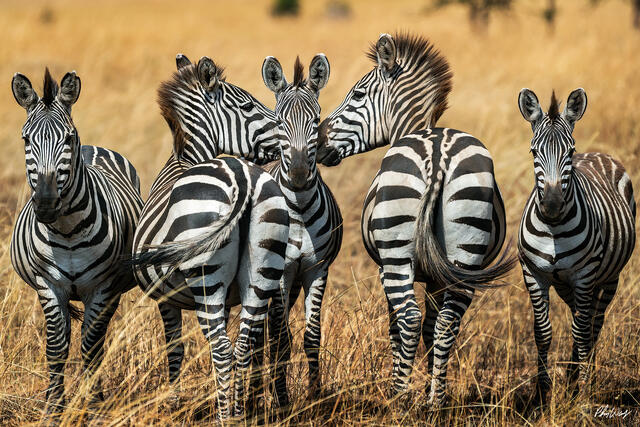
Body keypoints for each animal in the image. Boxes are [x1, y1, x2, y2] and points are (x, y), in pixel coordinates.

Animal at [10, 69, 143, 412]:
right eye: (25, 139)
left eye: (68, 138)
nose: (45, 204)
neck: (67, 231)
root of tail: (92, 146)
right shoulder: (48, 284)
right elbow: (57, 347)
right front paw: (54, 408)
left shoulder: (103, 286)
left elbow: (91, 347)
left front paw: (93, 405)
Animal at [131, 55, 290, 418]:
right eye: (248, 105)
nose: (292, 135)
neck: (186, 160)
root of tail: (242, 175)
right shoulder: (229, 298)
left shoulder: (165, 298)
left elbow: (174, 349)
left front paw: (173, 403)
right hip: (264, 265)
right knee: (241, 346)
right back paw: (239, 413)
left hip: (205, 277)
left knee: (219, 347)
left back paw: (224, 416)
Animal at [316, 33, 516, 405]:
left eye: (357, 95)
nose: (318, 143)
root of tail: (438, 154)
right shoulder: (437, 276)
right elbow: (430, 328)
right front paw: (429, 390)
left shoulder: (385, 269)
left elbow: (397, 326)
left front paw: (404, 384)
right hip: (465, 257)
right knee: (447, 324)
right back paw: (437, 402)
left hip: (397, 257)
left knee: (408, 318)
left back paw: (397, 398)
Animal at [517, 88, 635, 402]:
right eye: (534, 152)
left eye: (569, 152)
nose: (552, 205)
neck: (554, 228)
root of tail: (596, 153)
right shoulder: (534, 274)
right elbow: (543, 332)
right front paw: (543, 395)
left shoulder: (584, 275)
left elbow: (582, 332)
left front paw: (583, 395)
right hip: (566, 285)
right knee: (580, 319)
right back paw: (571, 380)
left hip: (608, 278)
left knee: (592, 324)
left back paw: (586, 381)